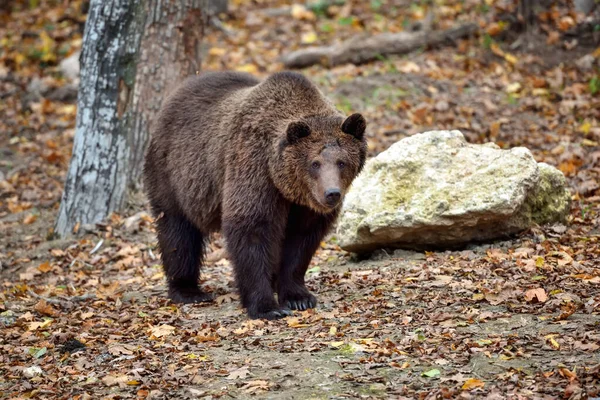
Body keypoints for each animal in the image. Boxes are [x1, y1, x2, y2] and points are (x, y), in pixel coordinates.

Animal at [144, 70, 366, 320]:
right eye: (315, 163)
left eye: (342, 162)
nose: (332, 194)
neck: (286, 184)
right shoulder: (254, 168)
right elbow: (252, 229)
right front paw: (268, 306)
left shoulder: (304, 206)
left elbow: (301, 239)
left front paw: (298, 297)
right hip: (174, 175)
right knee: (177, 233)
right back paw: (188, 290)